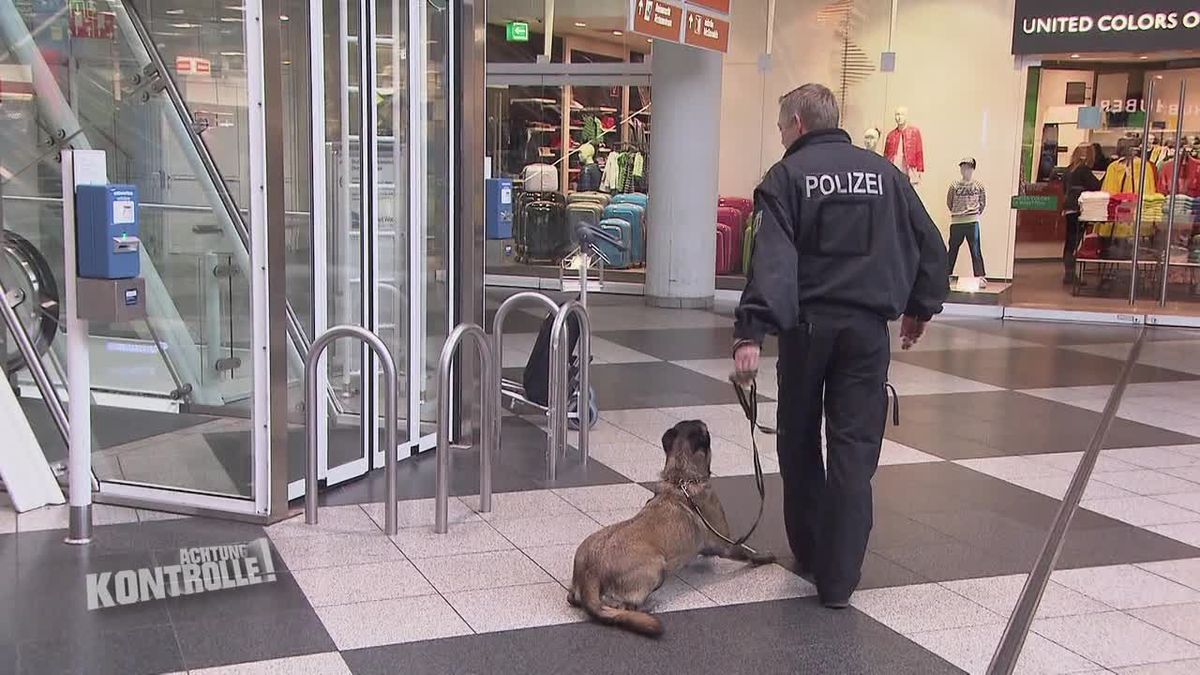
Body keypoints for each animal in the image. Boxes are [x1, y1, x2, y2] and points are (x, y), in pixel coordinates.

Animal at [566, 417, 772, 634]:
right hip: (657, 567)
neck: (680, 477)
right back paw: (647, 606)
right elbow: (747, 552)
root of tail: (590, 573)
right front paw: (764, 557)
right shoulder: (725, 544)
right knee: (626, 605)